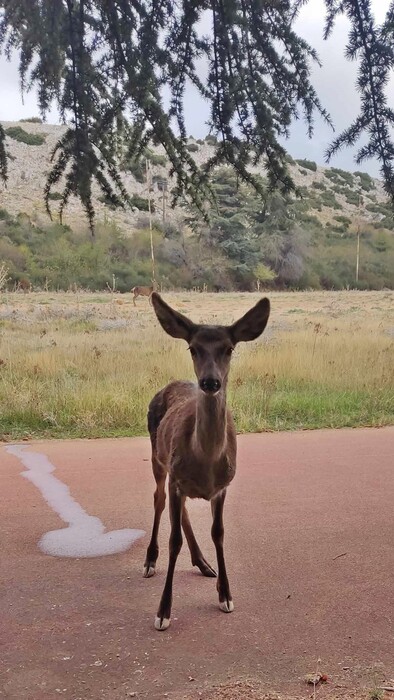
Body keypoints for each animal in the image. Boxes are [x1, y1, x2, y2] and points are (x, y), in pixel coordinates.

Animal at [145, 292, 270, 632]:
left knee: (182, 510)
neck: (206, 461)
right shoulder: (176, 476)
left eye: (229, 348)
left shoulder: (223, 485)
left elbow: (219, 533)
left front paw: (225, 593)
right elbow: (173, 539)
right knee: (158, 498)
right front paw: (163, 611)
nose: (210, 382)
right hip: (158, 457)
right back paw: (150, 559)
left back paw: (203, 564)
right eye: (193, 347)